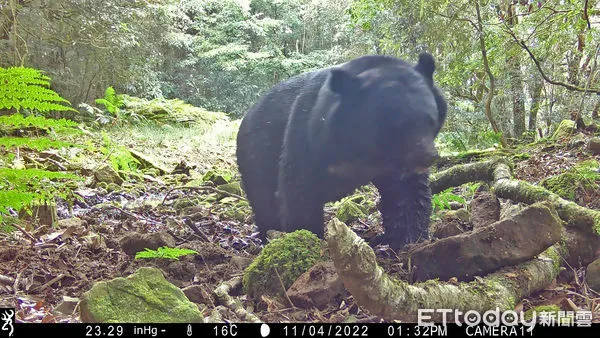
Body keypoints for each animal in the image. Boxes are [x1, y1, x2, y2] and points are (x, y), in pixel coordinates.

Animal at [237, 52, 448, 248]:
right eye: (395, 128)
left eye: (430, 120)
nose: (427, 157)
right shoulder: (308, 136)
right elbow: (299, 190)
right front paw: (307, 239)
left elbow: (409, 193)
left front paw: (409, 240)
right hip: (257, 156)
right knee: (265, 200)